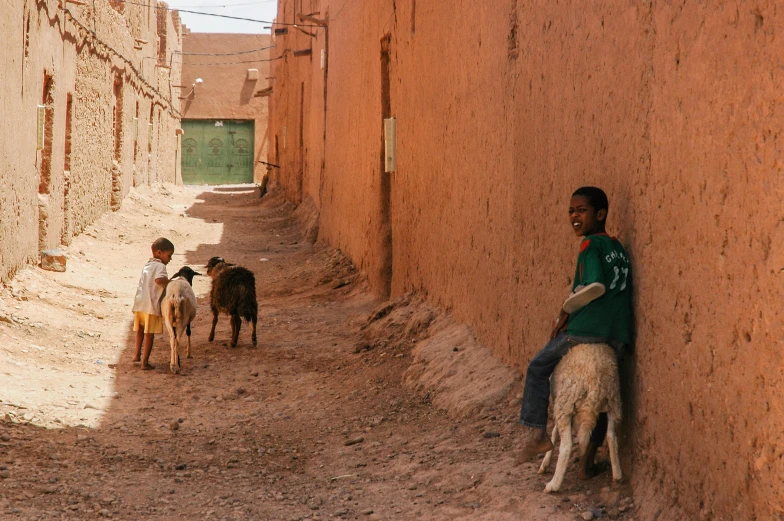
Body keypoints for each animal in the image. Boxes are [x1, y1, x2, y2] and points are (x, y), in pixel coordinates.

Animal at [536, 342, 620, 492]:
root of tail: (595, 380)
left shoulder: (559, 402)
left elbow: (554, 432)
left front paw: (545, 463)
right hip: (612, 401)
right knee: (611, 436)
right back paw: (617, 475)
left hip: (567, 400)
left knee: (566, 446)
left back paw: (553, 485)